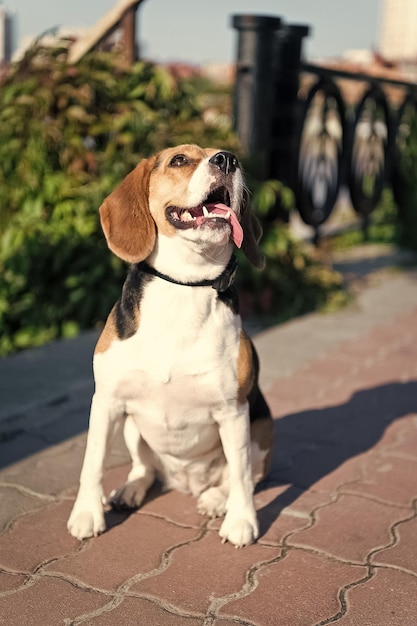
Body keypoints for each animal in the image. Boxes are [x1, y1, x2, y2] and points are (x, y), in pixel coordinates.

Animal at [68, 144, 272, 544]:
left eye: (228, 156)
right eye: (179, 160)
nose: (228, 159)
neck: (185, 285)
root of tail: (184, 482)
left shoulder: (233, 411)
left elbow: (240, 475)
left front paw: (242, 521)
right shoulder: (107, 402)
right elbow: (92, 463)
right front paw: (86, 513)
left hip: (260, 431)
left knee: (240, 476)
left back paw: (217, 500)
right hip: (132, 427)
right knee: (145, 469)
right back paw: (130, 489)